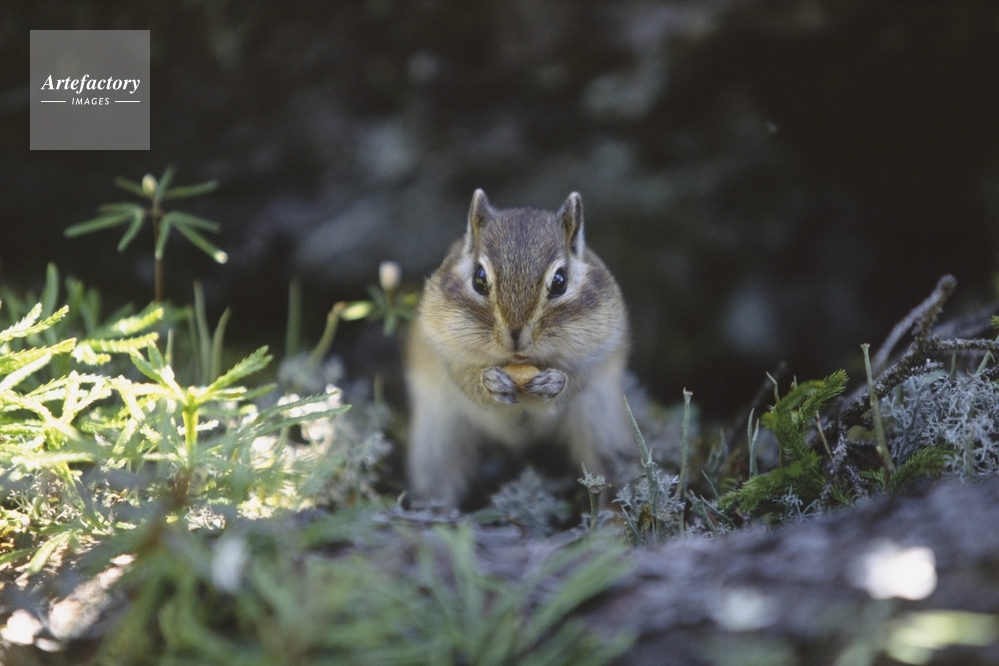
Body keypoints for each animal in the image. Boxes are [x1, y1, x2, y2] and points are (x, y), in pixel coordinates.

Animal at [405, 189, 633, 507]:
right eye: (479, 278)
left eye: (560, 282)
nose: (515, 339)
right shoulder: (443, 349)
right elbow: (463, 378)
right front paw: (490, 382)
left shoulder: (597, 354)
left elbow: (577, 380)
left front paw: (554, 382)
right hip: (436, 441)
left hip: (604, 428)